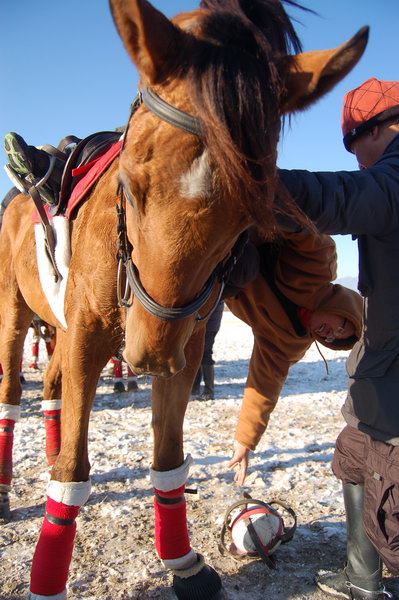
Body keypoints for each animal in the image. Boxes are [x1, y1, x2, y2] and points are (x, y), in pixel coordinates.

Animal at [0, 2, 368, 596]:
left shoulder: (185, 342)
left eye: (251, 212)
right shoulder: (90, 337)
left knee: (54, 387)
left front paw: (182, 562)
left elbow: (168, 455)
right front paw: (48, 579)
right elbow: (74, 472)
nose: (147, 354)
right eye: (129, 182)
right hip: (17, 314)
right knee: (13, 392)